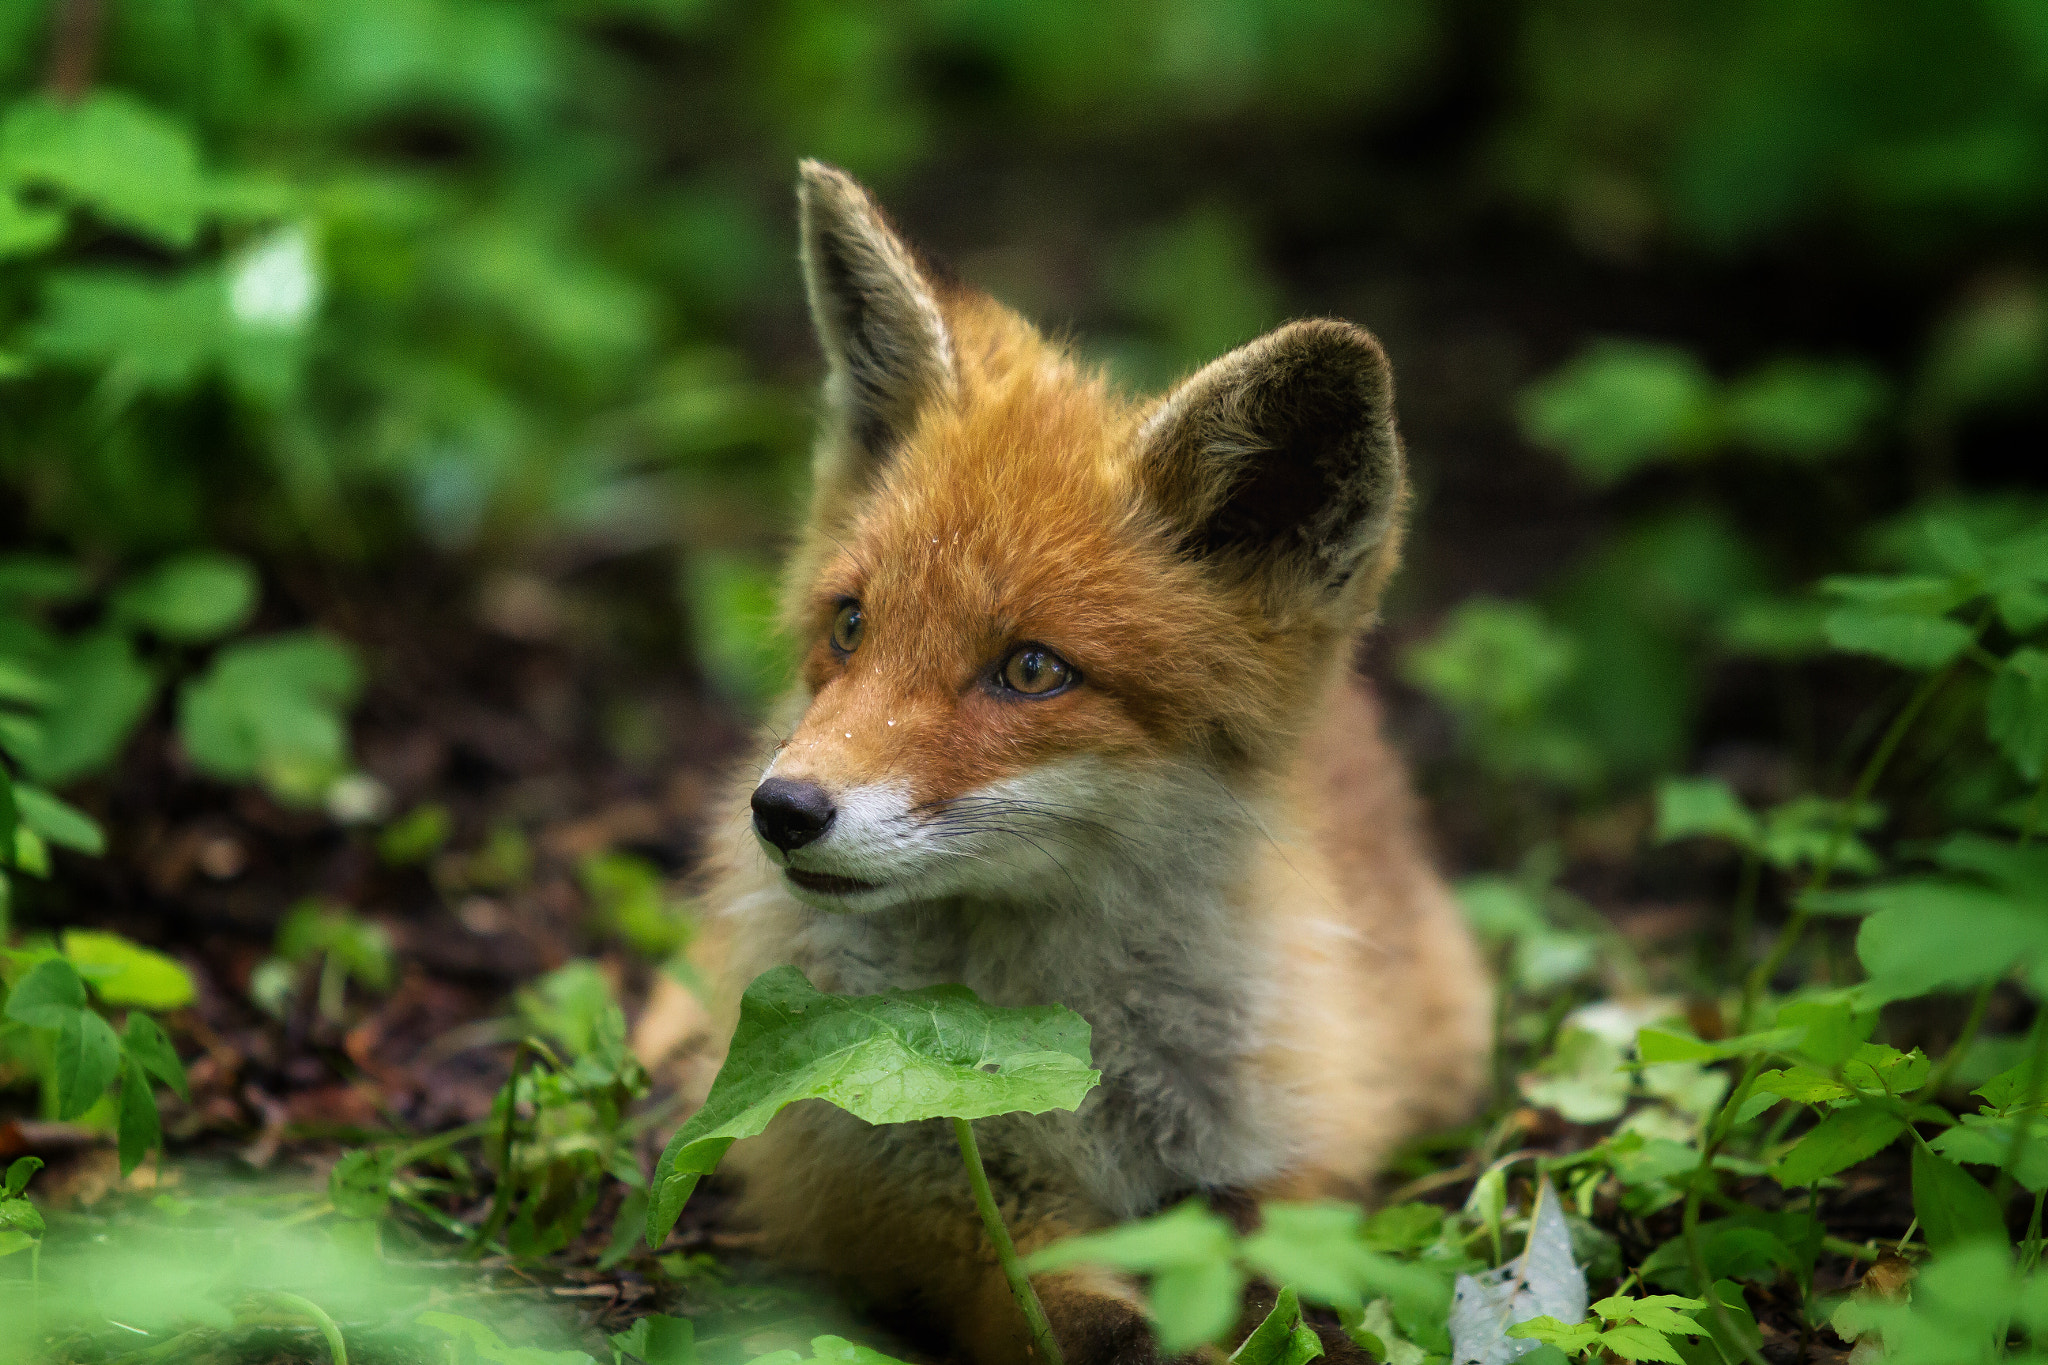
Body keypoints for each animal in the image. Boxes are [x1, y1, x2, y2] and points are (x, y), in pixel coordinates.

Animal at [636, 161, 1492, 1363]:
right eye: (851, 625)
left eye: (1032, 670)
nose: (782, 809)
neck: (1060, 1043)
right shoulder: (908, 1187)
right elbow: (1080, 1320)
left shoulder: (1295, 1141)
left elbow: (1281, 1280)